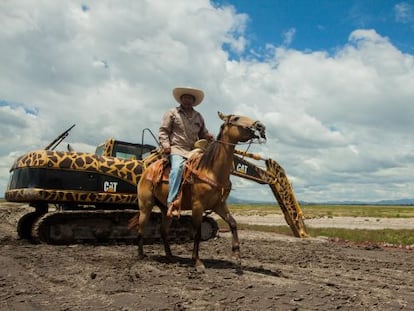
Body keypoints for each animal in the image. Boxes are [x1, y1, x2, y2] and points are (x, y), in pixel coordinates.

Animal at [131, 112, 266, 270]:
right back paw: (141, 255)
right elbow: (197, 233)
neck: (212, 171)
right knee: (141, 228)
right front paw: (197, 261)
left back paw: (170, 256)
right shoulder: (198, 206)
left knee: (163, 231)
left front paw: (237, 255)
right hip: (145, 205)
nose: (260, 126)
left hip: (166, 210)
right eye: (235, 118)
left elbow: (233, 223)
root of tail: (146, 170)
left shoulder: (219, 205)